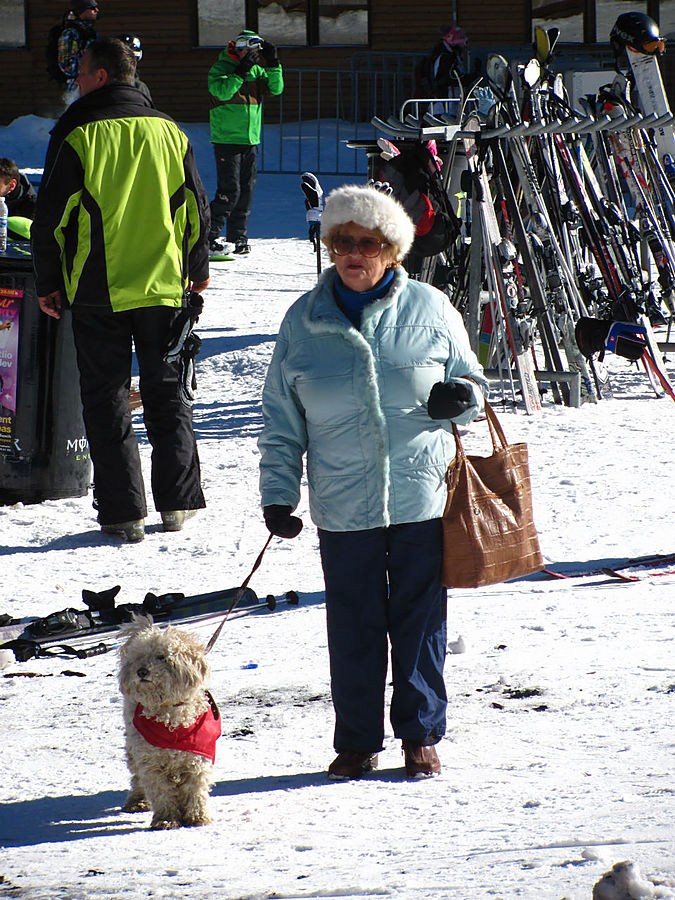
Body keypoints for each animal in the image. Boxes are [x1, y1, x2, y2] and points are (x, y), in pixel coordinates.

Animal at [117, 620, 220, 828]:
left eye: (161, 656)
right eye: (139, 657)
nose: (141, 671)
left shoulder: (198, 757)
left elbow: (195, 789)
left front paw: (197, 816)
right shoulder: (150, 762)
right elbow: (161, 791)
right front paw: (166, 819)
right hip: (133, 750)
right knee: (137, 778)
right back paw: (137, 801)